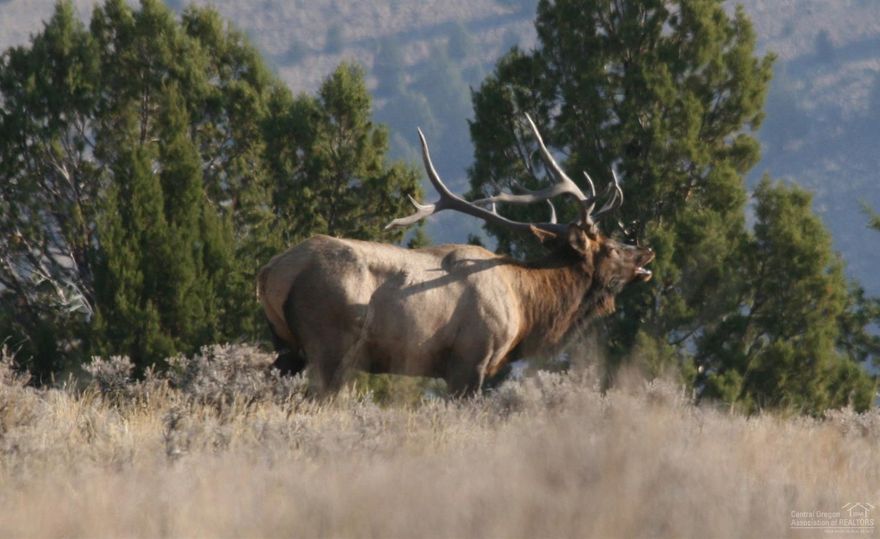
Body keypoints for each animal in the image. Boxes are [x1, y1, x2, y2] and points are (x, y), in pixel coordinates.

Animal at [257, 116, 653, 395]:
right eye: (612, 246)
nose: (646, 252)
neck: (525, 308)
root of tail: (272, 272)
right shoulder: (470, 360)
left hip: (287, 346)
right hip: (329, 343)